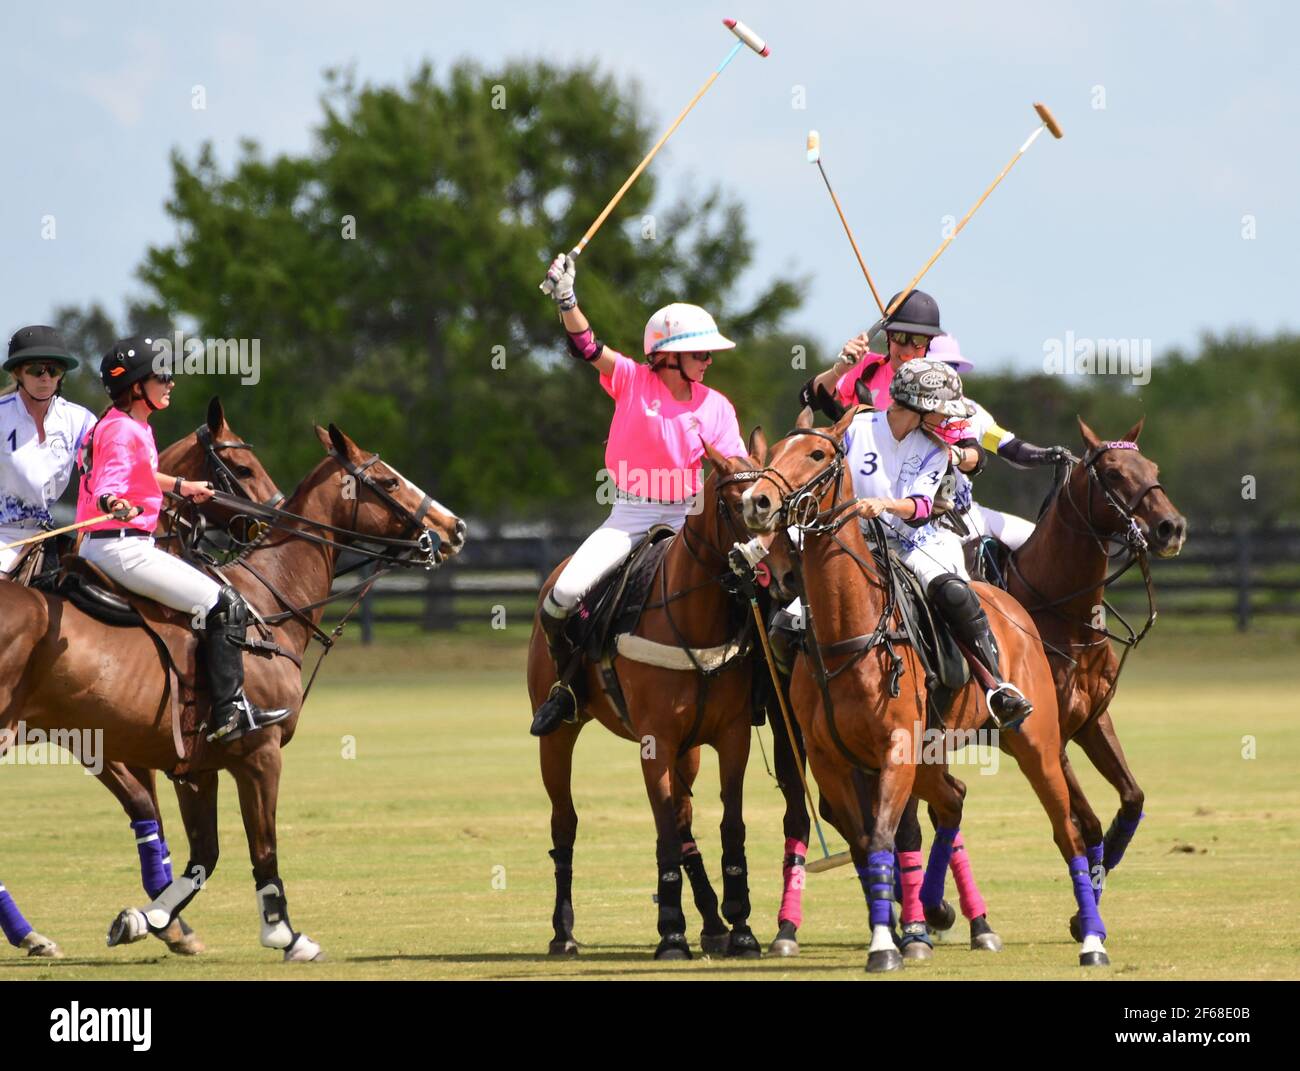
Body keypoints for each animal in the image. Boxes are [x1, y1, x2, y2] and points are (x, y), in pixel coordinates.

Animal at [0, 423, 467, 956]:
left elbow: (203, 854)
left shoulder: (192, 768)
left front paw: (147, 919)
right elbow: (261, 846)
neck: (267, 603)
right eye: (388, 481)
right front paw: (284, 932)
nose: (455, 527)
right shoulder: (259, 754)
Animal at [527, 431, 780, 956]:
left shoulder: (730, 738)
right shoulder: (655, 741)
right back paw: (564, 932)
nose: (765, 570)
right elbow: (663, 833)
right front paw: (671, 932)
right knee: (565, 821)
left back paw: (712, 922)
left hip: (689, 751)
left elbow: (729, 825)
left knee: (684, 821)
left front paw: (740, 926)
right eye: (733, 503)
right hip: (558, 737)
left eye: (773, 503)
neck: (696, 618)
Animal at [743, 413, 1107, 972]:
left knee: (1064, 829)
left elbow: (882, 836)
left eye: (817, 456)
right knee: (953, 800)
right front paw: (896, 933)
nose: (757, 502)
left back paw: (1091, 941)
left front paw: (886, 945)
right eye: (777, 450)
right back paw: (940, 909)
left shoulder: (894, 749)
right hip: (931, 754)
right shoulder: (829, 758)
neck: (848, 630)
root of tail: (1008, 600)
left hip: (1037, 742)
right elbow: (865, 843)